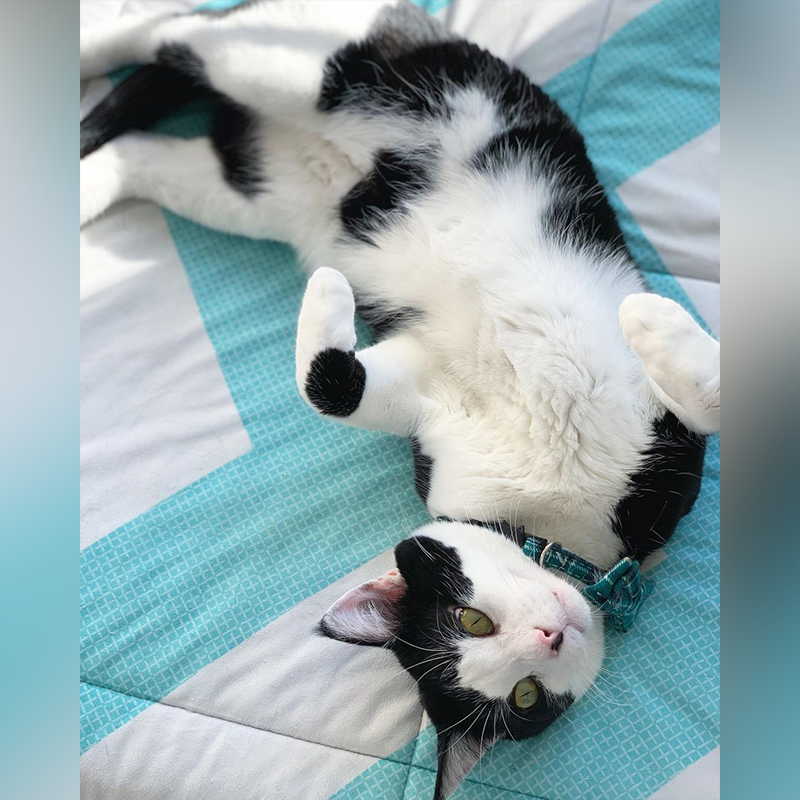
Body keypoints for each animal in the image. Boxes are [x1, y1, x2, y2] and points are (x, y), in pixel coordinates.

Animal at [79, 3, 720, 796]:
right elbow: (332, 384)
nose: (550, 634)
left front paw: (651, 321)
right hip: (298, 93)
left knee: (144, 122)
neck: (555, 521)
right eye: (475, 627)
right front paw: (329, 293)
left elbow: (708, 394)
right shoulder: (426, 404)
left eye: (525, 696)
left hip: (268, 164)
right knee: (162, 32)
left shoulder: (664, 465)